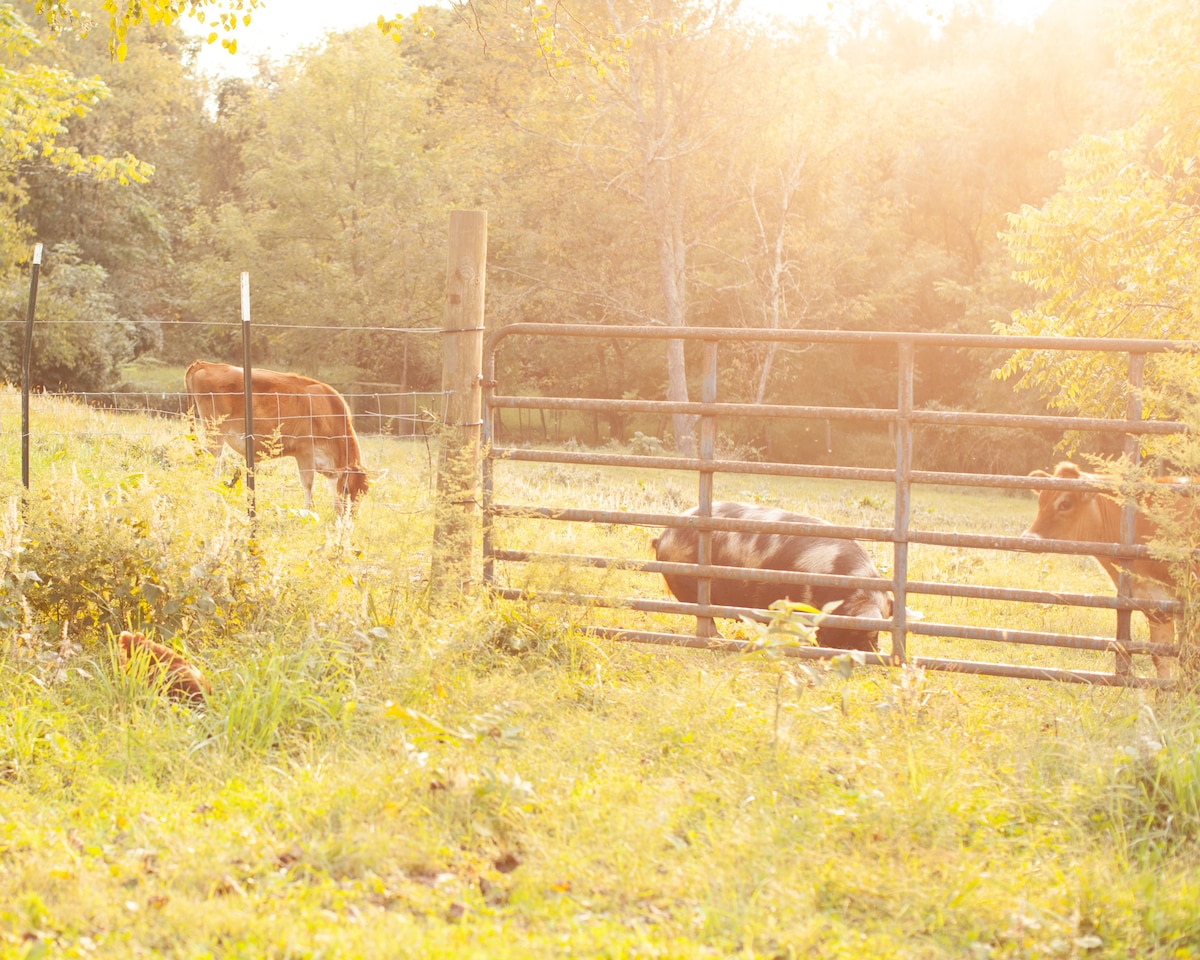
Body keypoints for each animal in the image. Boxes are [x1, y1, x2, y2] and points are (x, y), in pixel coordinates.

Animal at [182, 360, 367, 513]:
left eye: (363, 493)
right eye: (346, 488)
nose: (350, 517)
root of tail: (204, 364)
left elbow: (331, 486)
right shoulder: (305, 450)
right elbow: (308, 484)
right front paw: (309, 512)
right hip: (215, 433)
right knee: (213, 466)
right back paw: (214, 503)